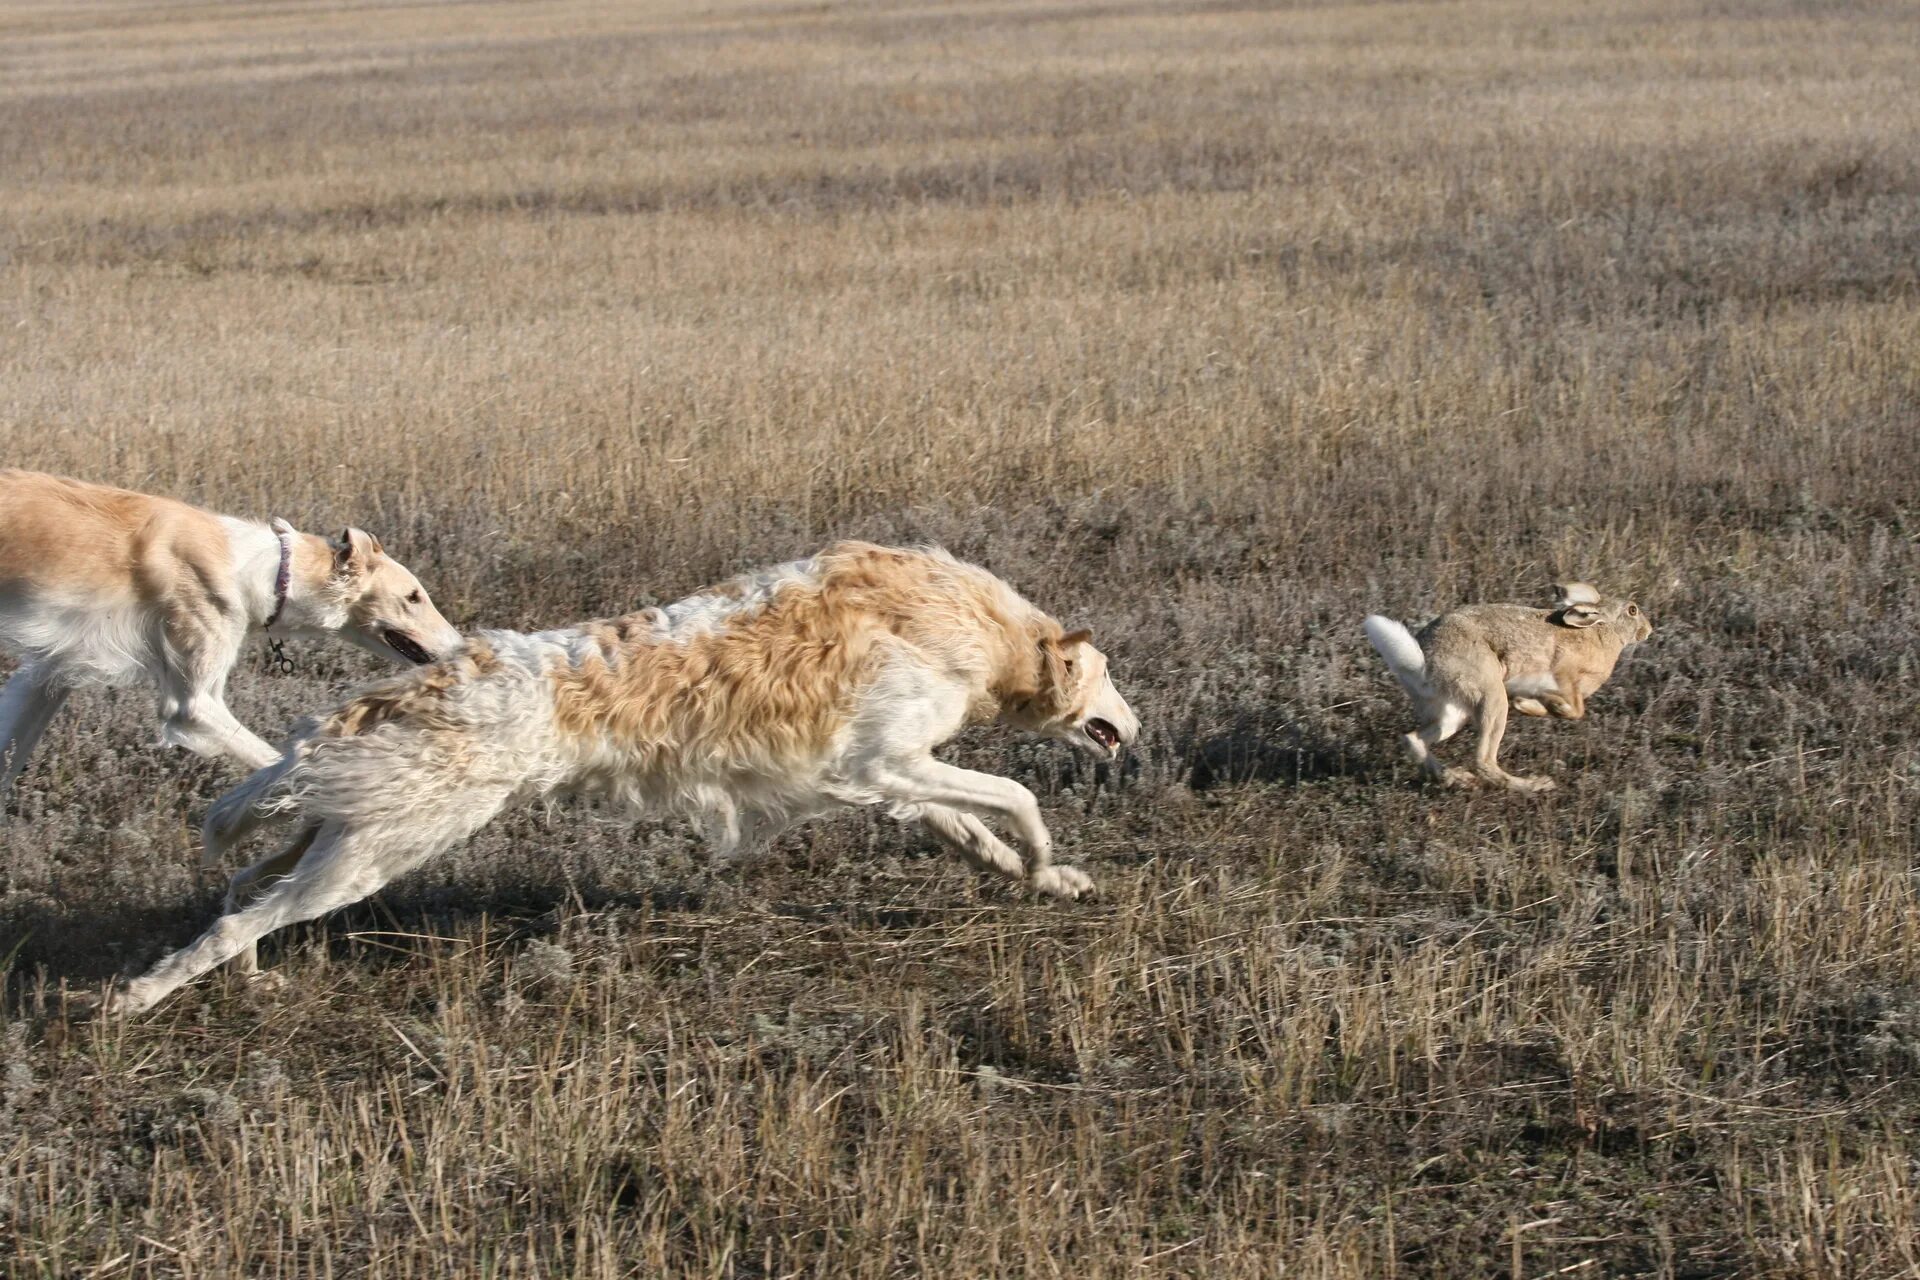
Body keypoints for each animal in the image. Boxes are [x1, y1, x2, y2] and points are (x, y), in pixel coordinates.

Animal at [0, 470, 464, 802]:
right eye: (413, 596)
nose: (462, 648)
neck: (268, 570)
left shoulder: (51, 672)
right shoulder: (192, 705)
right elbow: (280, 763)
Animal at [108, 537, 1136, 1013]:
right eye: (1109, 675)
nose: (1133, 726)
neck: (970, 623)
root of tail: (421, 683)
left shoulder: (883, 775)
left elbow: (974, 828)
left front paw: (1042, 878)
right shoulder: (892, 757)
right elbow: (1019, 797)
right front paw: (1050, 861)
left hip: (344, 830)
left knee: (244, 887)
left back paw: (243, 976)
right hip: (375, 852)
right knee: (242, 912)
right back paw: (139, 995)